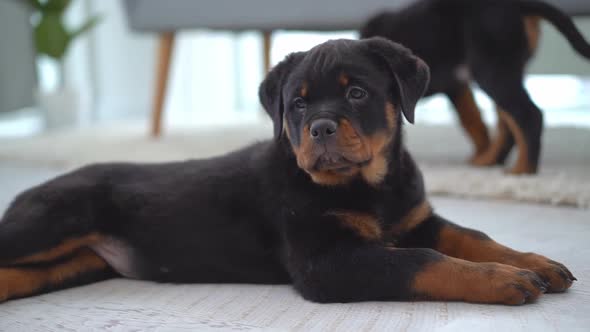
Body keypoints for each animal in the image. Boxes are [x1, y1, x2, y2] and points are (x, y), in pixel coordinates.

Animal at [0, 37, 576, 304]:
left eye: (356, 93)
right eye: (296, 105)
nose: (319, 127)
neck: (373, 186)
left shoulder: (416, 217)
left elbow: (471, 236)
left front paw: (536, 264)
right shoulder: (327, 261)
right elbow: (424, 261)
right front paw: (503, 280)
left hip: (69, 264)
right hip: (49, 225)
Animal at [364, 0, 590, 174]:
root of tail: (519, 5)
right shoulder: (457, 87)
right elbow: (473, 121)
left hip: (491, 69)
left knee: (528, 115)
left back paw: (523, 170)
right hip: (506, 71)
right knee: (508, 123)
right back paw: (490, 160)